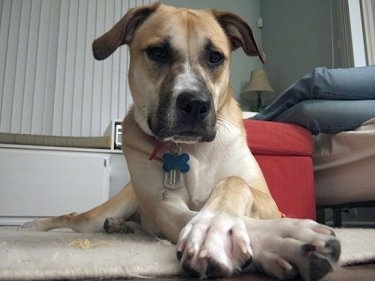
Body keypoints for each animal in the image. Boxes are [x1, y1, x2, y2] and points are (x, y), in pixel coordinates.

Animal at [22, 3, 342, 278]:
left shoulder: (268, 199)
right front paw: (281, 238)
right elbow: (196, 218)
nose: (196, 104)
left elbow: (233, 181)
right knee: (74, 217)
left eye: (215, 57)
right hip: (115, 206)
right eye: (157, 52)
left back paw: (122, 227)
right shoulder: (164, 205)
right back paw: (35, 224)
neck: (190, 149)